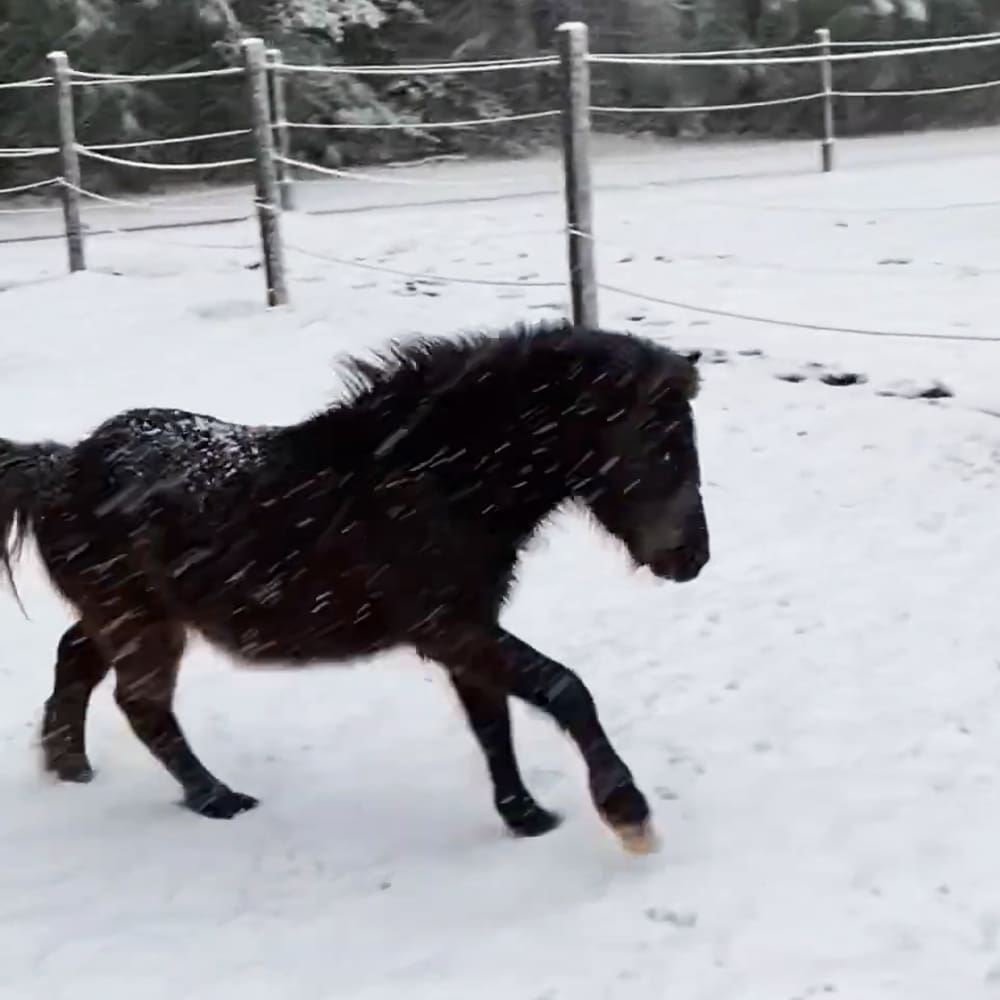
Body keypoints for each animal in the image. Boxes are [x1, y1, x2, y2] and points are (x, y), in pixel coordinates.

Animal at [0, 319, 709, 855]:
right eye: (659, 439)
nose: (693, 557)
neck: (437, 479)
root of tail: (60, 466)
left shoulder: (468, 629)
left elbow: (492, 722)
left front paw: (526, 817)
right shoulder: (450, 628)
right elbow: (564, 690)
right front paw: (629, 816)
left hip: (128, 615)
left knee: (76, 660)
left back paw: (70, 766)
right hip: (141, 624)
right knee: (142, 705)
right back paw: (217, 798)